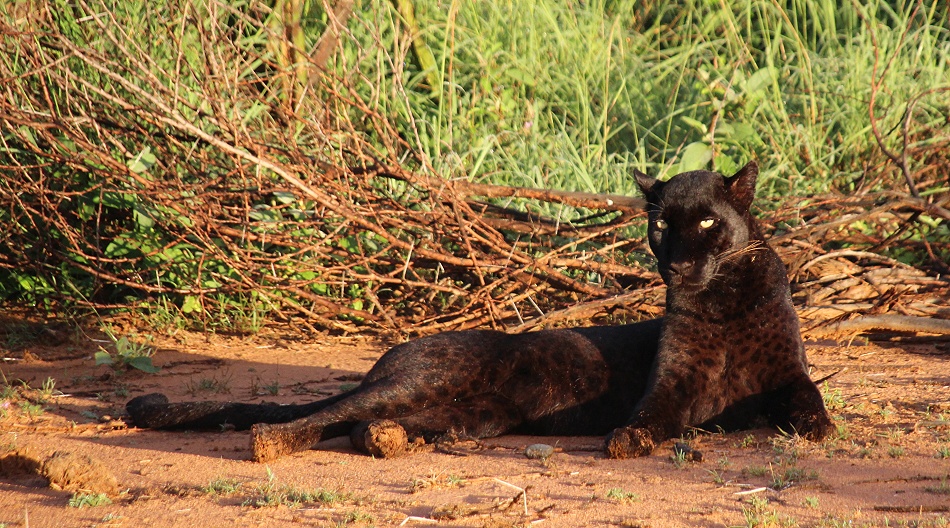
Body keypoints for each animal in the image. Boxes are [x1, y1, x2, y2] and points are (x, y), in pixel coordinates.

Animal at [126, 160, 833, 463]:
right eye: (661, 227)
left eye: (708, 222)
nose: (679, 264)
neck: (721, 305)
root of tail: (391, 357)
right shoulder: (675, 383)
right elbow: (650, 415)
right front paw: (628, 440)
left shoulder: (786, 374)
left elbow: (811, 401)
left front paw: (818, 428)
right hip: (421, 385)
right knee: (325, 416)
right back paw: (272, 443)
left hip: (470, 414)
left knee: (358, 426)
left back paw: (389, 442)